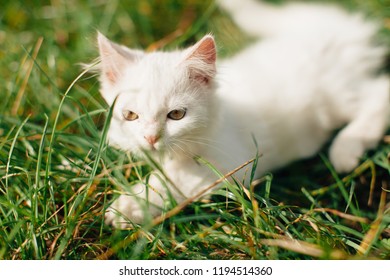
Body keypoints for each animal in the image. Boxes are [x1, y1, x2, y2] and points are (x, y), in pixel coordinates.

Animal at [95, 0, 390, 228]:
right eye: (130, 115)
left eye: (176, 114)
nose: (150, 138)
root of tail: (325, 31)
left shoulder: (232, 164)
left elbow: (174, 180)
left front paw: (128, 207)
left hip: (336, 97)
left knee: (379, 93)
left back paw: (346, 150)